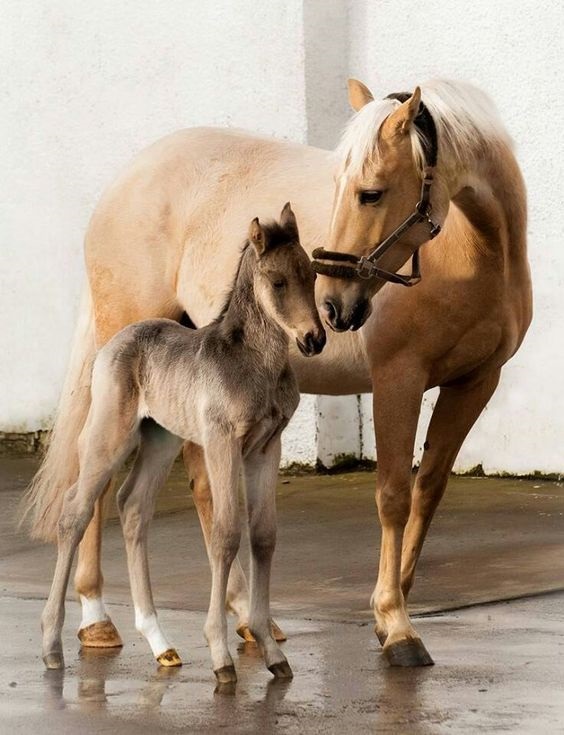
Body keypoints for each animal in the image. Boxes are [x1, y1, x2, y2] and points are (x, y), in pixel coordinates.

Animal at [24, 79, 532, 668]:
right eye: (343, 187)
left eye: (371, 193)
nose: (335, 307)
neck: (478, 251)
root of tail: (123, 180)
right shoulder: (397, 378)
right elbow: (392, 495)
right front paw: (397, 625)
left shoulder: (476, 382)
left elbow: (427, 490)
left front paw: (391, 608)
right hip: (122, 384)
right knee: (95, 487)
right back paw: (96, 619)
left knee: (196, 488)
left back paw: (243, 617)